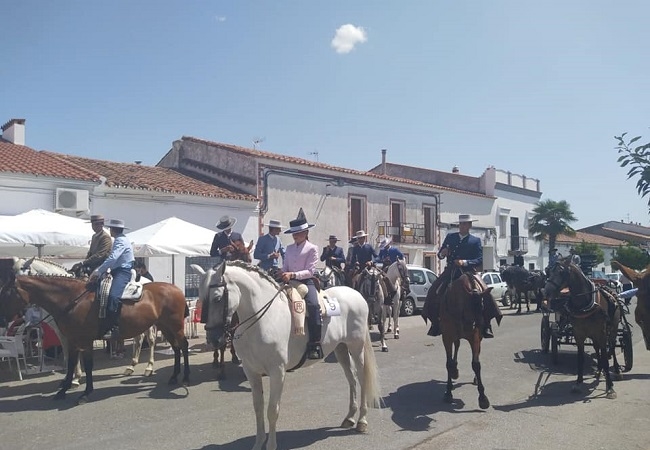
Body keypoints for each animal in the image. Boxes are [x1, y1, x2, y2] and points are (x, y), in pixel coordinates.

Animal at [3, 274, 190, 404]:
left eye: (6, 292)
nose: (3, 319)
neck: (72, 300)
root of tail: (177, 289)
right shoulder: (72, 340)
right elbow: (71, 364)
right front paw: (63, 390)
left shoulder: (85, 341)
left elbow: (87, 365)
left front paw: (85, 393)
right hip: (165, 326)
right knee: (175, 348)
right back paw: (173, 377)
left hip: (175, 326)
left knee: (183, 345)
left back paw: (184, 378)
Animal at [12, 258, 156, 382]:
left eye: (23, 269)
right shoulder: (62, 332)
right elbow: (67, 352)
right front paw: (71, 376)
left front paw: (75, 377)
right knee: (139, 339)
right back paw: (131, 367)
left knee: (150, 339)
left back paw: (149, 368)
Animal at [197, 260, 380, 450]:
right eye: (201, 297)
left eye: (218, 298)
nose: (213, 339)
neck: (263, 320)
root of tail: (356, 294)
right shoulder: (251, 371)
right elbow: (258, 407)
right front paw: (258, 443)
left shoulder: (277, 372)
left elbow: (272, 410)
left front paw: (271, 445)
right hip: (341, 349)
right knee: (351, 379)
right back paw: (349, 418)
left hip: (356, 348)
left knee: (362, 378)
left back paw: (362, 421)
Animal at [432, 272, 494, 410]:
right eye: (468, 306)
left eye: (483, 305)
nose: (479, 326)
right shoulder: (447, 337)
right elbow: (448, 363)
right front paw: (448, 392)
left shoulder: (474, 338)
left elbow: (476, 364)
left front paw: (483, 398)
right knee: (457, 346)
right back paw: (454, 371)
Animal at [540, 258, 616, 400]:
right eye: (549, 271)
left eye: (561, 272)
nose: (544, 292)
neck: (585, 305)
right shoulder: (579, 334)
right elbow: (580, 358)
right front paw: (578, 383)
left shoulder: (602, 333)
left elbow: (605, 358)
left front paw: (610, 387)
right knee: (597, 349)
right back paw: (598, 370)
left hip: (611, 330)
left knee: (611, 348)